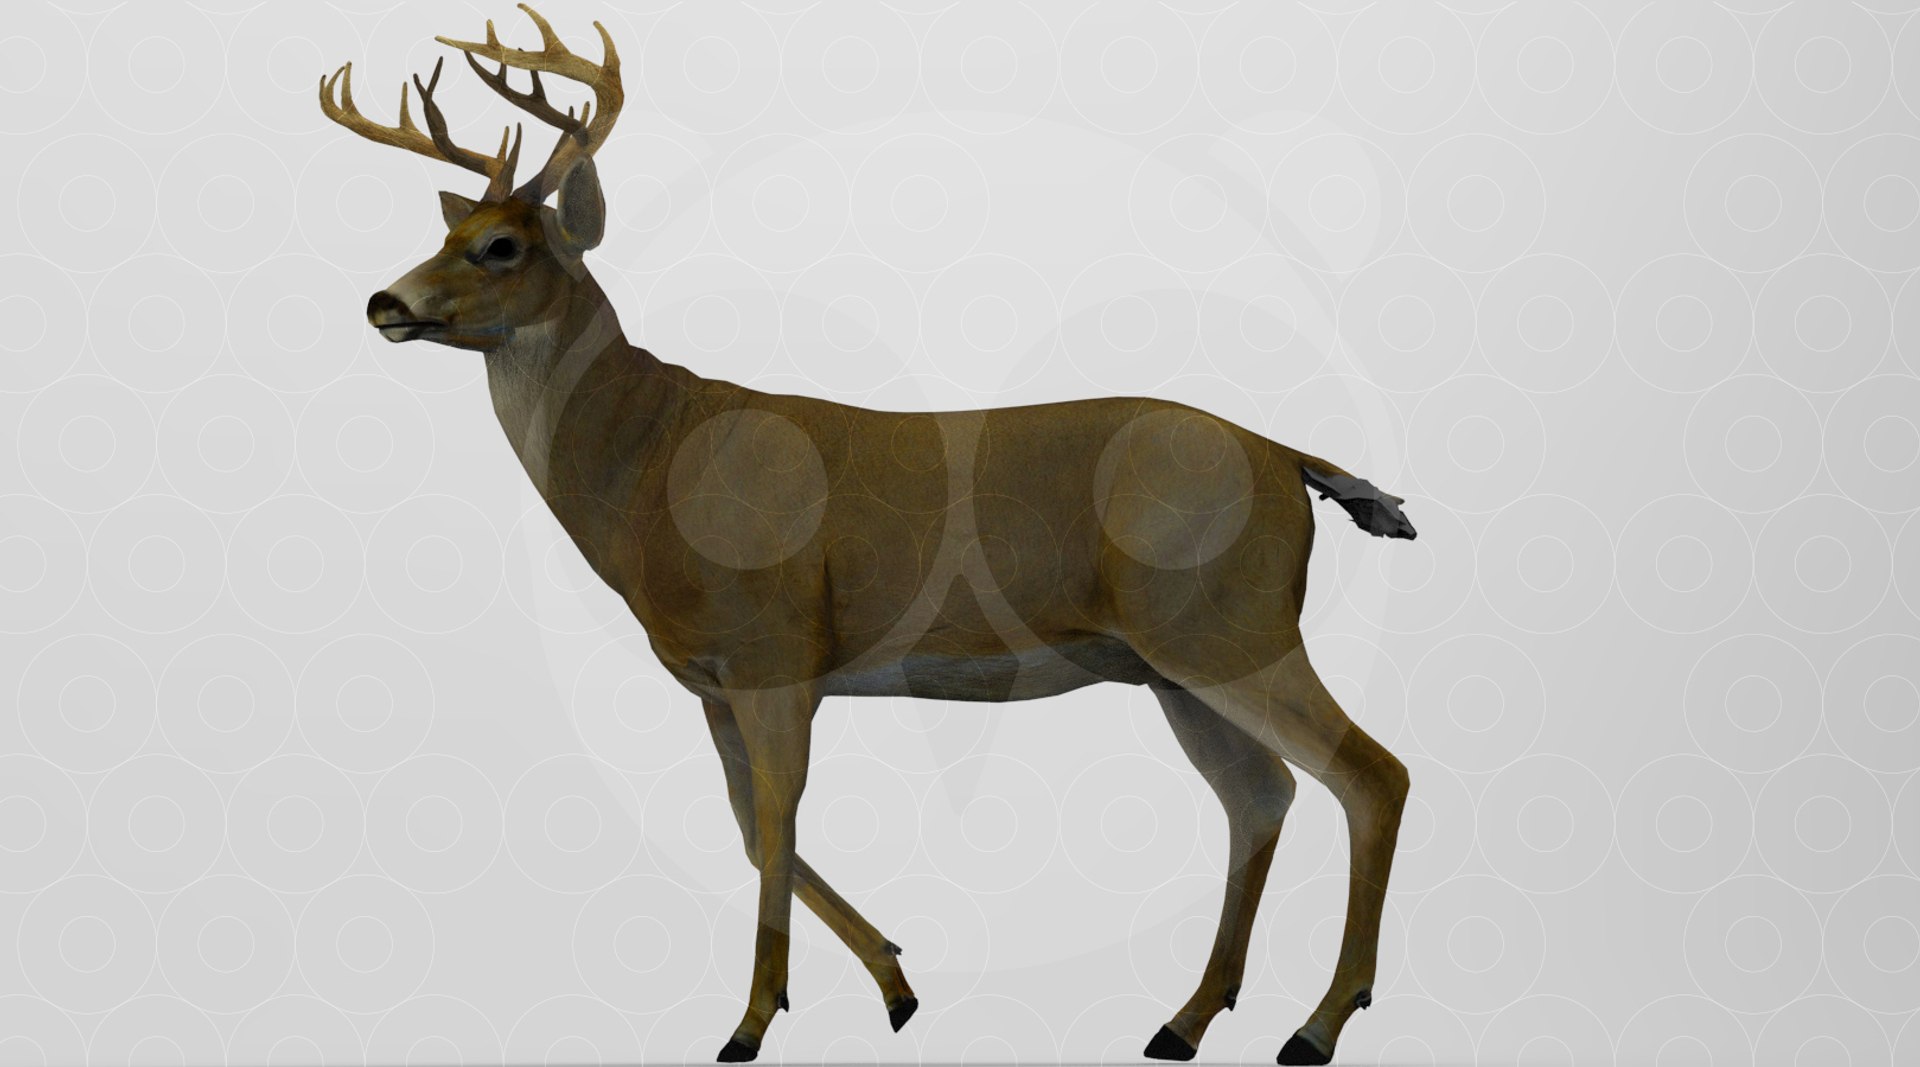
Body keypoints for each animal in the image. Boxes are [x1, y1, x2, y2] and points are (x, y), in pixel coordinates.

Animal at [319, 7, 1418, 1064]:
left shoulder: (776, 649)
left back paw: (1317, 1025)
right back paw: (1182, 1021)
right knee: (1262, 794)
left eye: (503, 246)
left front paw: (750, 1023)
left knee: (1371, 773)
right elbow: (751, 831)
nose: (384, 301)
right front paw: (895, 984)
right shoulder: (714, 680)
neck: (653, 467)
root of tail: (1288, 458)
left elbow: (776, 819)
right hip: (1170, 660)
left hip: (1229, 621)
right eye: (451, 229)